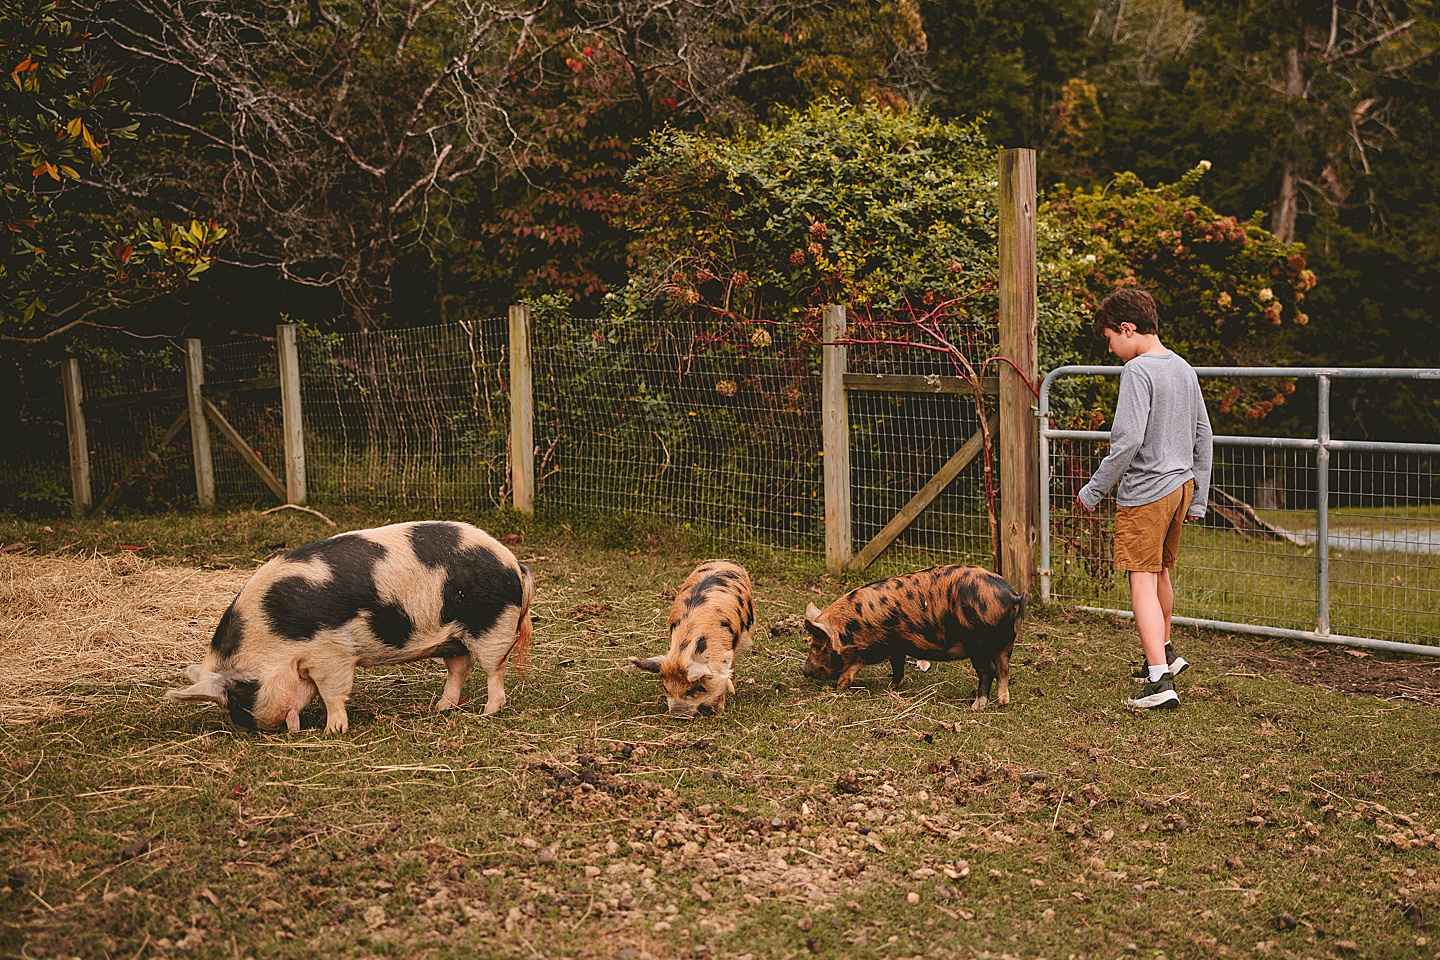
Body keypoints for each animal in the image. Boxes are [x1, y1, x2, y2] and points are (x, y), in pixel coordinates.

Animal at [164, 521, 535, 731]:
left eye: (239, 696)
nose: (254, 729)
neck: (273, 638)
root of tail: (513, 562)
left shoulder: (332, 653)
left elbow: (332, 693)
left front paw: (333, 731)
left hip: (493, 624)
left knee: (492, 670)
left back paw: (488, 712)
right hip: (452, 637)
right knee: (459, 668)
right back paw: (441, 707)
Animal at [800, 567, 1025, 711]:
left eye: (818, 645)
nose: (803, 669)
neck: (855, 625)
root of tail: (1013, 596)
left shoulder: (881, 644)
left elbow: (862, 662)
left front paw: (840, 685)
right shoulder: (897, 647)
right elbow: (897, 666)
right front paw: (892, 686)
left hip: (978, 643)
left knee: (989, 670)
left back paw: (976, 706)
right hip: (1007, 645)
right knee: (1004, 669)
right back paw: (1001, 702)